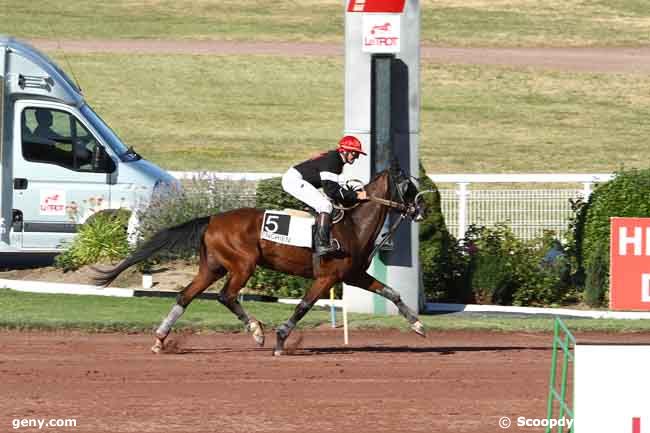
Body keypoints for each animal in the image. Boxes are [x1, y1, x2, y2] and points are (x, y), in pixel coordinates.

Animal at [91, 165, 426, 354]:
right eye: (409, 186)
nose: (421, 210)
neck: (353, 226)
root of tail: (212, 218)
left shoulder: (353, 275)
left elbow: (392, 292)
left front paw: (418, 325)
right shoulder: (327, 277)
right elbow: (303, 306)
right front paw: (280, 339)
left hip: (212, 267)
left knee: (186, 295)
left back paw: (161, 339)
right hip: (243, 264)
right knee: (226, 296)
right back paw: (256, 331)